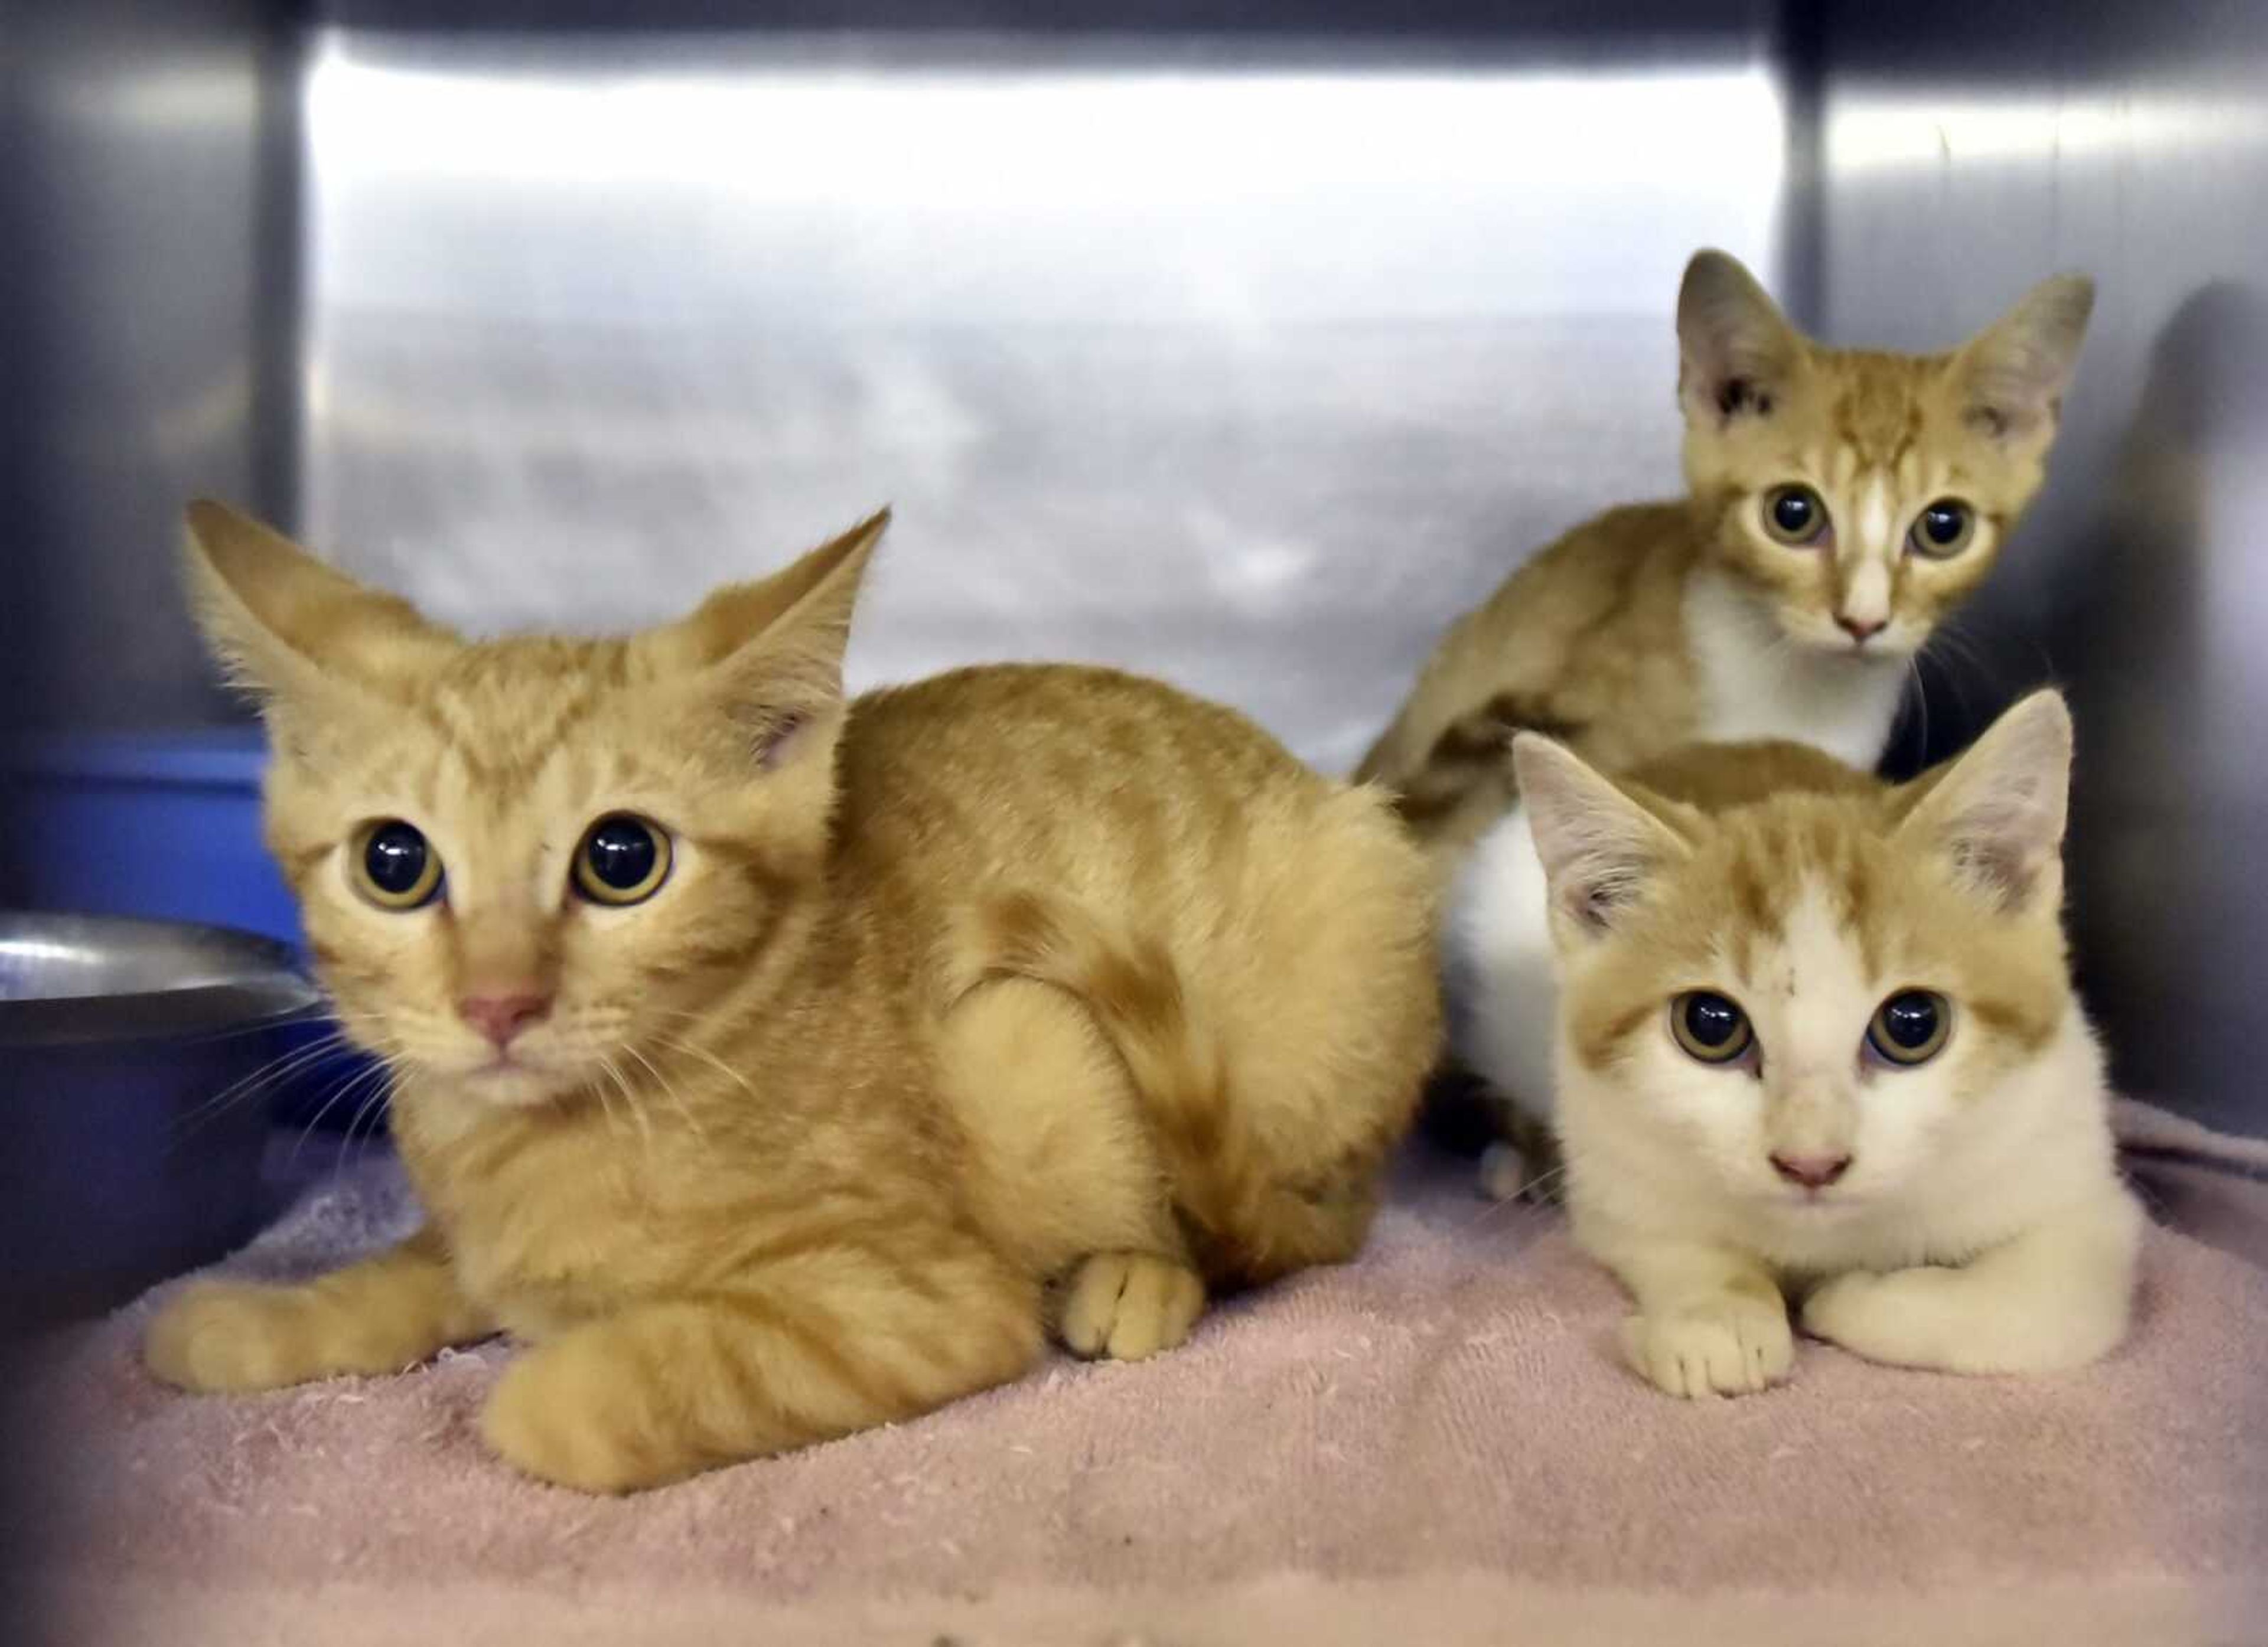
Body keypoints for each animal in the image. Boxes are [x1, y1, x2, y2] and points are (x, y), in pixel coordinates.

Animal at [146, 503, 1433, 1497]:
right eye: (394, 862)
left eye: (622, 857)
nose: (499, 1002)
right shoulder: (470, 1234)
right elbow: (408, 1275)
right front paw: (256, 1317)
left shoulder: (919, 1295)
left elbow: (576, 1398)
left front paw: (532, 1383)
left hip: (1085, 1031)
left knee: (1281, 1236)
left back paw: (1141, 1274)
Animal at [1506, 689, 2123, 1397]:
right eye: (1710, 1024)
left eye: (1913, 1023)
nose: (1812, 1163)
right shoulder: (1606, 1154)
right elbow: (1666, 1237)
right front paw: (1717, 1318)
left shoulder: (2072, 1174)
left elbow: (2040, 1307)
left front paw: (1850, 1296)